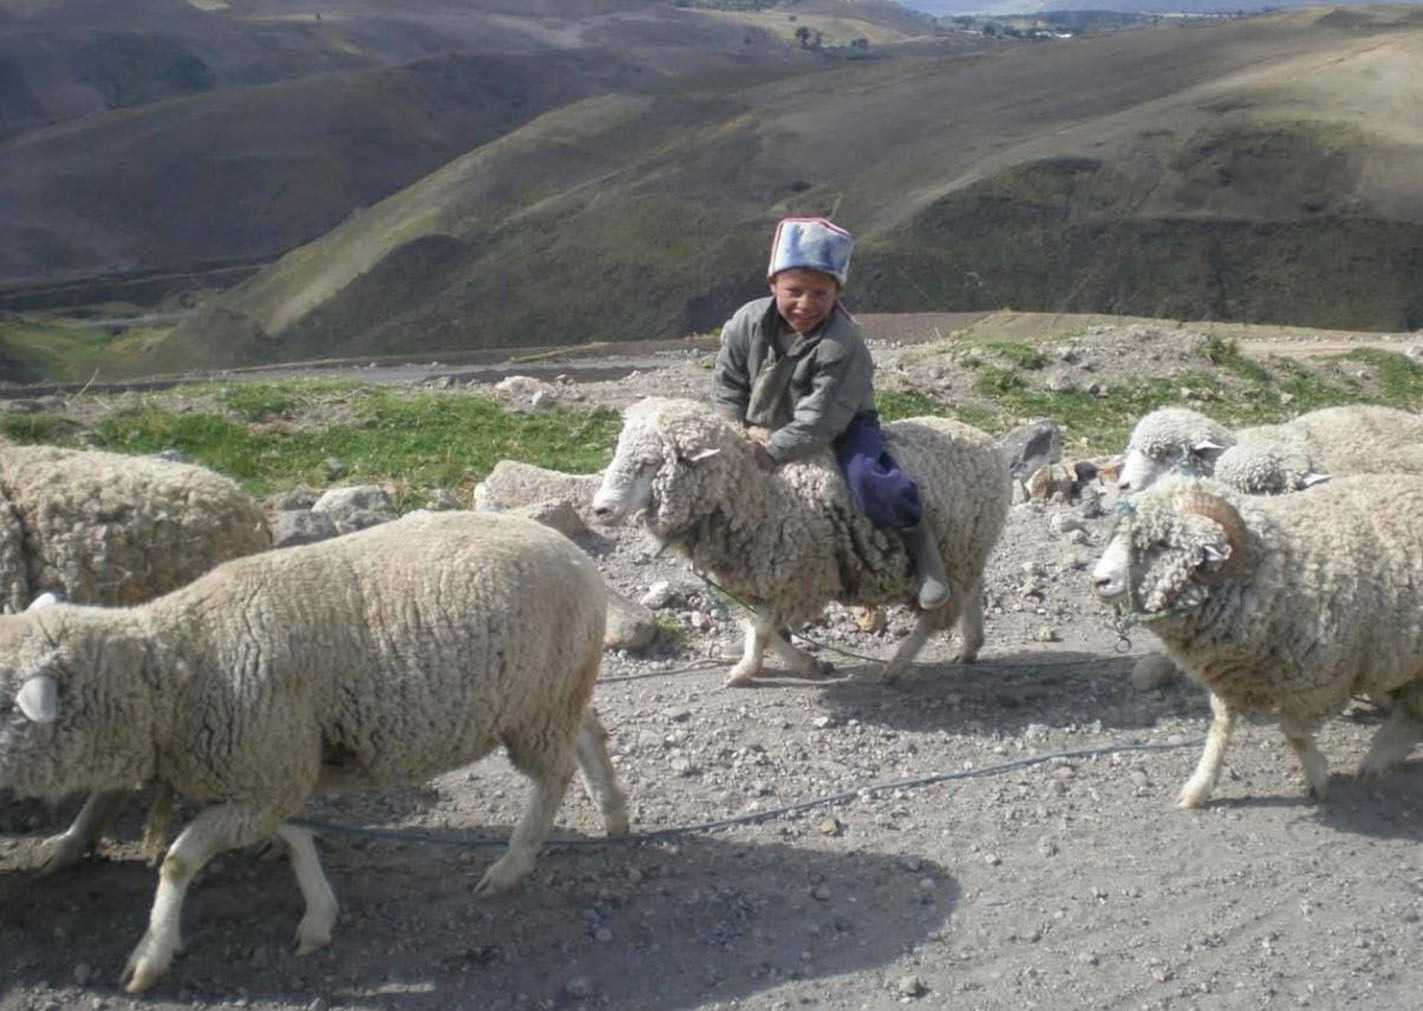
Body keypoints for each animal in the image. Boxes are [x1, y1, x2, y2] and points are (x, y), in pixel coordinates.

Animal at [0, 509, 629, 992]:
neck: (176, 671)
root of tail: (576, 555)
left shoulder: (267, 773)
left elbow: (179, 860)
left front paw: (151, 956)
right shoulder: (272, 773)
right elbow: (295, 836)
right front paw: (318, 912)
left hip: (538, 704)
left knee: (552, 777)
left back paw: (512, 864)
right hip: (555, 691)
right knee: (588, 733)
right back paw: (614, 814)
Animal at [590, 397, 1011, 686]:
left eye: (650, 463)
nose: (600, 509)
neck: (759, 488)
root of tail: (986, 441)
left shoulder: (799, 574)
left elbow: (762, 628)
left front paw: (748, 669)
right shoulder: (763, 578)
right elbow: (756, 626)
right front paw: (805, 664)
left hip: (957, 549)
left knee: (937, 611)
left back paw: (897, 664)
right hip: (969, 547)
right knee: (973, 590)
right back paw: (970, 646)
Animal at [1090, 473, 1423, 807]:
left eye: (1159, 544)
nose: (1099, 580)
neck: (1280, 575)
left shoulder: (1324, 686)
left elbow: (1292, 730)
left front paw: (1318, 777)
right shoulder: (1230, 677)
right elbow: (1220, 728)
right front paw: (1199, 787)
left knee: (1411, 711)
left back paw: (1378, 757)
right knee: (1411, 712)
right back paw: (1381, 758)